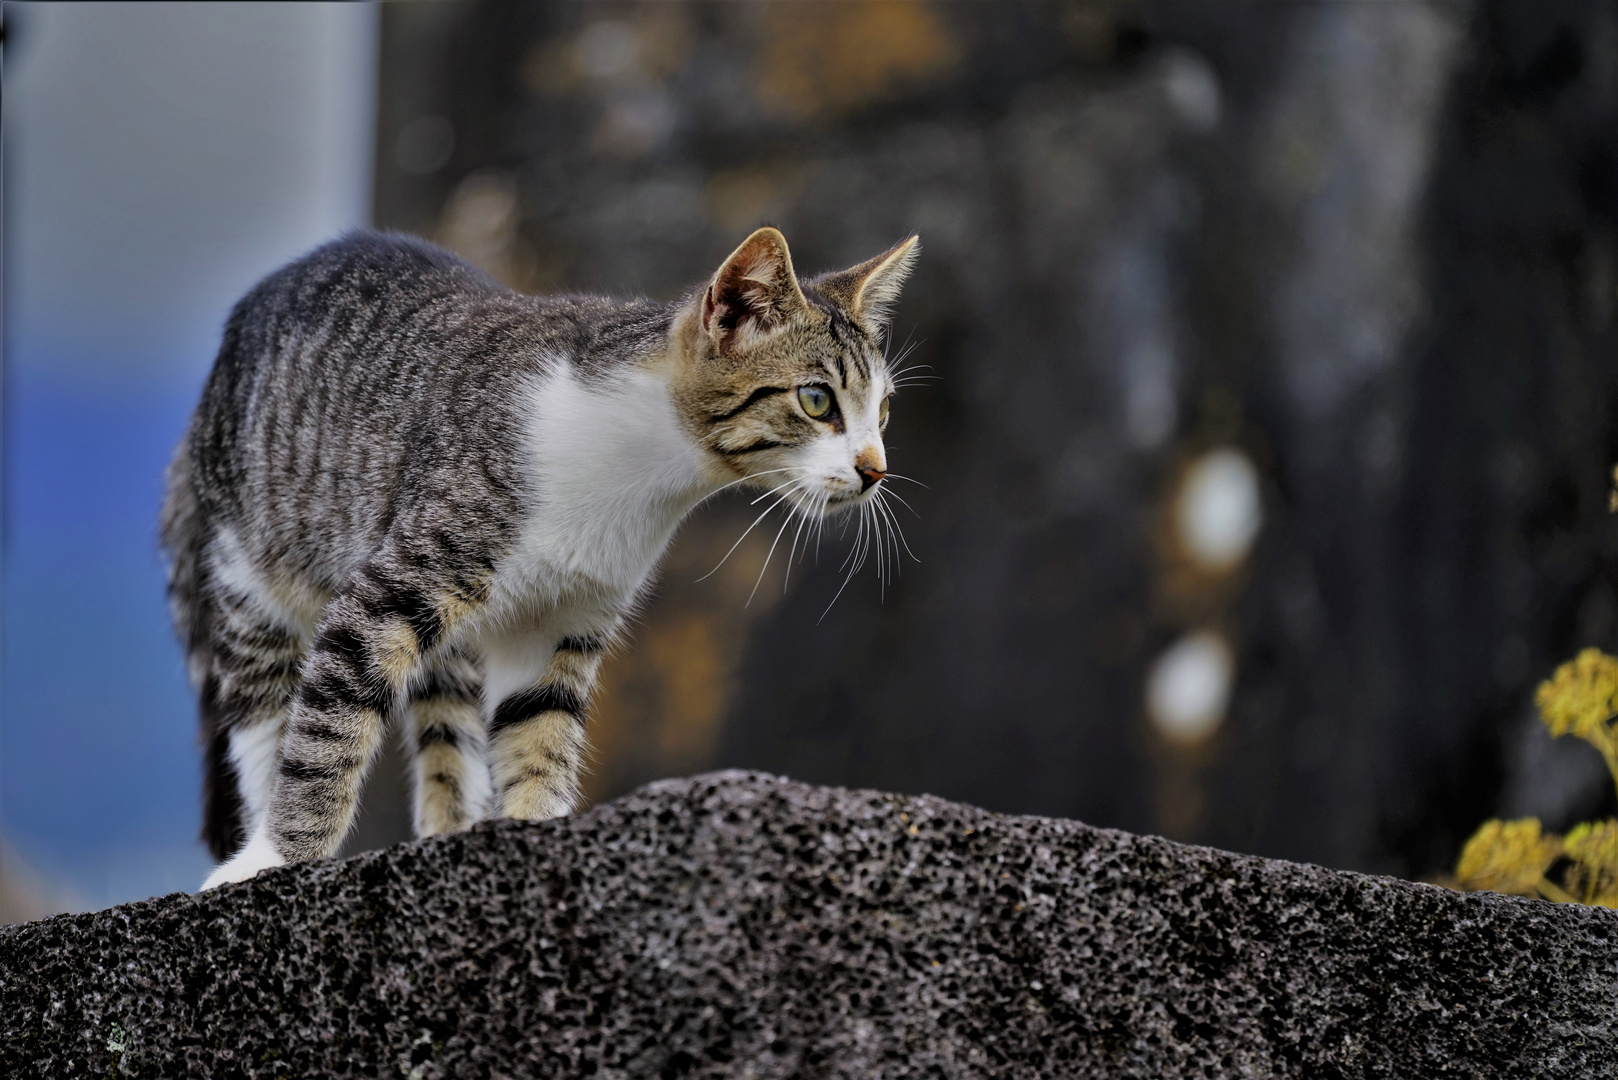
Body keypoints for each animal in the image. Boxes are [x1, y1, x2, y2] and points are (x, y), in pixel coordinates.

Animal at [164, 226, 925, 887]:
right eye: (818, 399)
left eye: (883, 412)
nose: (876, 469)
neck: (643, 476)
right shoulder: (393, 585)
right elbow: (329, 733)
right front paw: (278, 858)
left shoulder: (560, 619)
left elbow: (540, 735)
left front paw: (535, 827)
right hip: (250, 574)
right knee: (266, 719)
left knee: (446, 715)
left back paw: (450, 826)